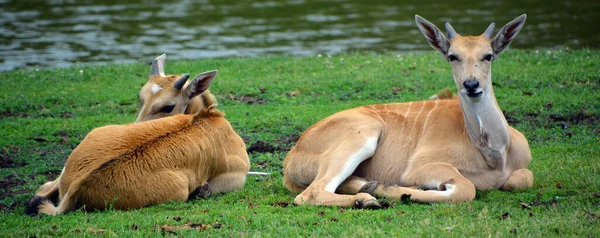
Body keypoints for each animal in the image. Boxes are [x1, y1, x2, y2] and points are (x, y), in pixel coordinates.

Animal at [27, 75, 248, 216]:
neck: (206, 118)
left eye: (168, 106)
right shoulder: (235, 177)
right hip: (178, 191)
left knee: (43, 190)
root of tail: (75, 187)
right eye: (142, 100)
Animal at [284, 15, 532, 208]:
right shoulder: (421, 167)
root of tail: (291, 157)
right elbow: (466, 188)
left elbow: (523, 179)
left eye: (488, 55)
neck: (492, 155)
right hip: (363, 136)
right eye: (452, 56)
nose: (471, 84)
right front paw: (396, 190)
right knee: (310, 194)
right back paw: (365, 199)